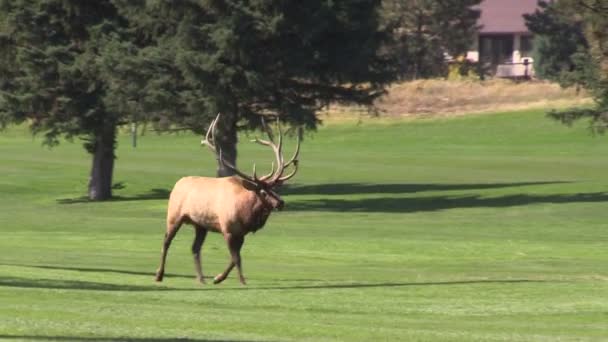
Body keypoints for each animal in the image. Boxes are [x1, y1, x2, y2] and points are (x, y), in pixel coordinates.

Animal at [154, 113, 302, 284]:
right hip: (174, 215)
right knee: (166, 241)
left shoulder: (241, 233)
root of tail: (177, 184)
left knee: (195, 248)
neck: (246, 213)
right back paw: (159, 275)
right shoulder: (227, 229)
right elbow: (237, 258)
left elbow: (234, 258)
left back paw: (201, 279)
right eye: (263, 191)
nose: (281, 202)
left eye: (274, 189)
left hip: (200, 225)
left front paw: (218, 278)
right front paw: (242, 281)